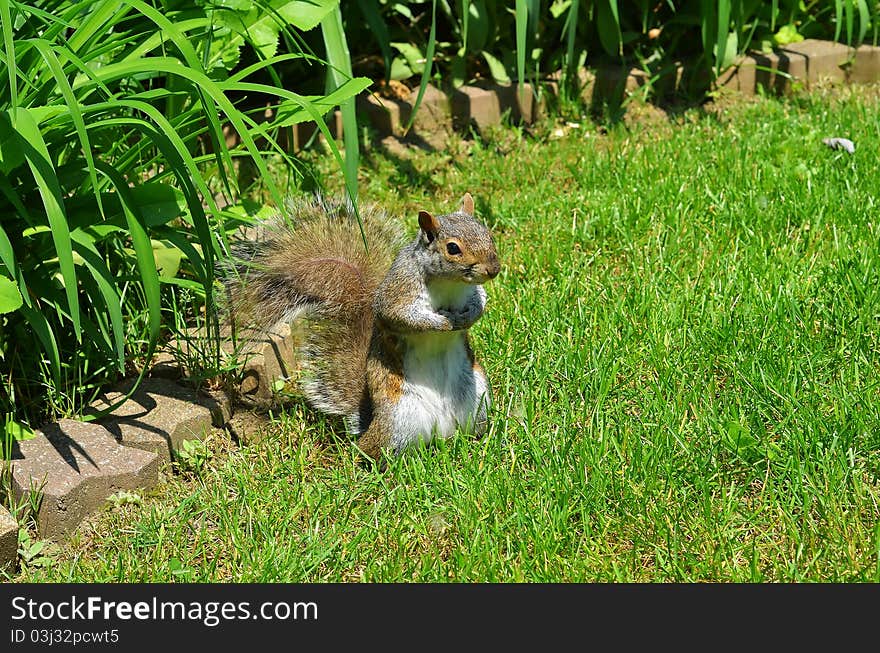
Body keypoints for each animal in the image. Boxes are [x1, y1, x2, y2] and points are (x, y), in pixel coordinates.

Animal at [225, 192, 502, 458]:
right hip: (399, 419)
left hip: (477, 396)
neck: (450, 284)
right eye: (453, 248)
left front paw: (470, 316)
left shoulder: (471, 291)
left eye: (488, 234)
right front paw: (443, 322)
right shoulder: (398, 291)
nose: (493, 270)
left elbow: (481, 300)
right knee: (372, 452)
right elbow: (401, 316)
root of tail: (443, 431)